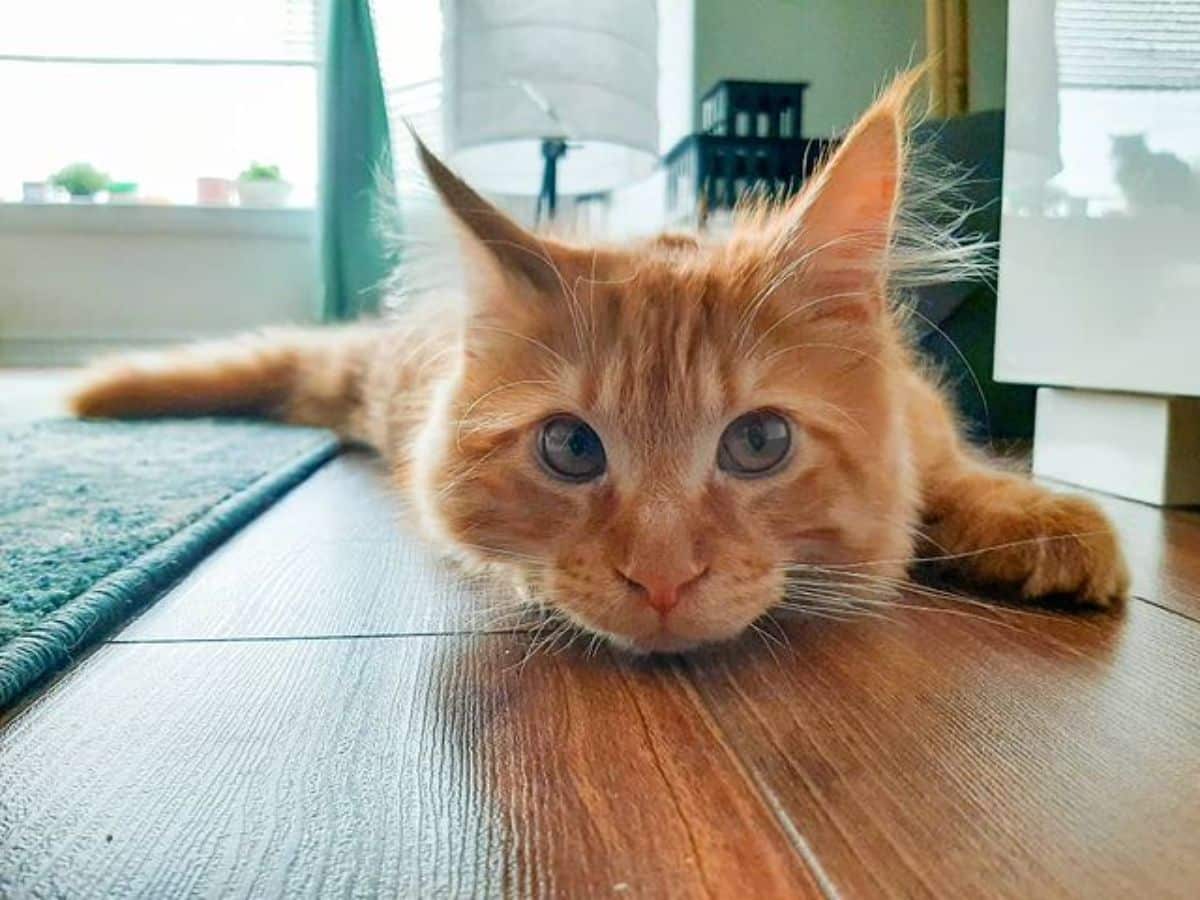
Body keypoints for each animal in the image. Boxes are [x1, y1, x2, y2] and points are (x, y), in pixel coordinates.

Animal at [70, 74, 1128, 652]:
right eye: (572, 450)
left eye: (760, 443)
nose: (659, 582)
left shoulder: (925, 419)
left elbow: (958, 475)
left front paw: (1043, 521)